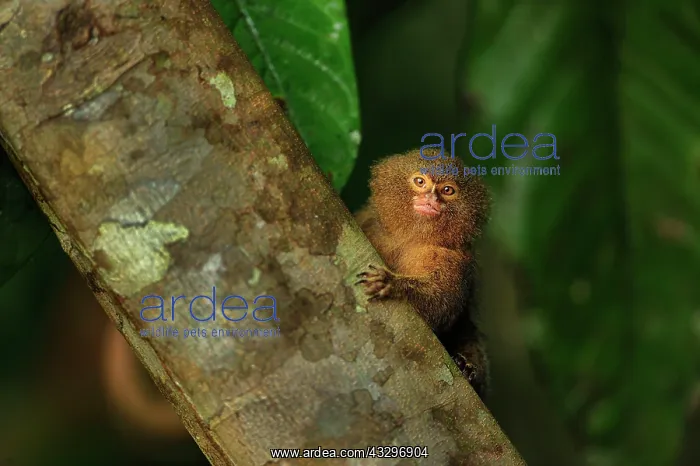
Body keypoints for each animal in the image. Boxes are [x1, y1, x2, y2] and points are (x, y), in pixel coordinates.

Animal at [354, 148, 491, 399]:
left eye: (447, 190)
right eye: (420, 182)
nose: (431, 199)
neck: (410, 237)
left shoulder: (455, 258)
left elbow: (442, 304)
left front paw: (393, 284)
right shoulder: (368, 221)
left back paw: (466, 368)